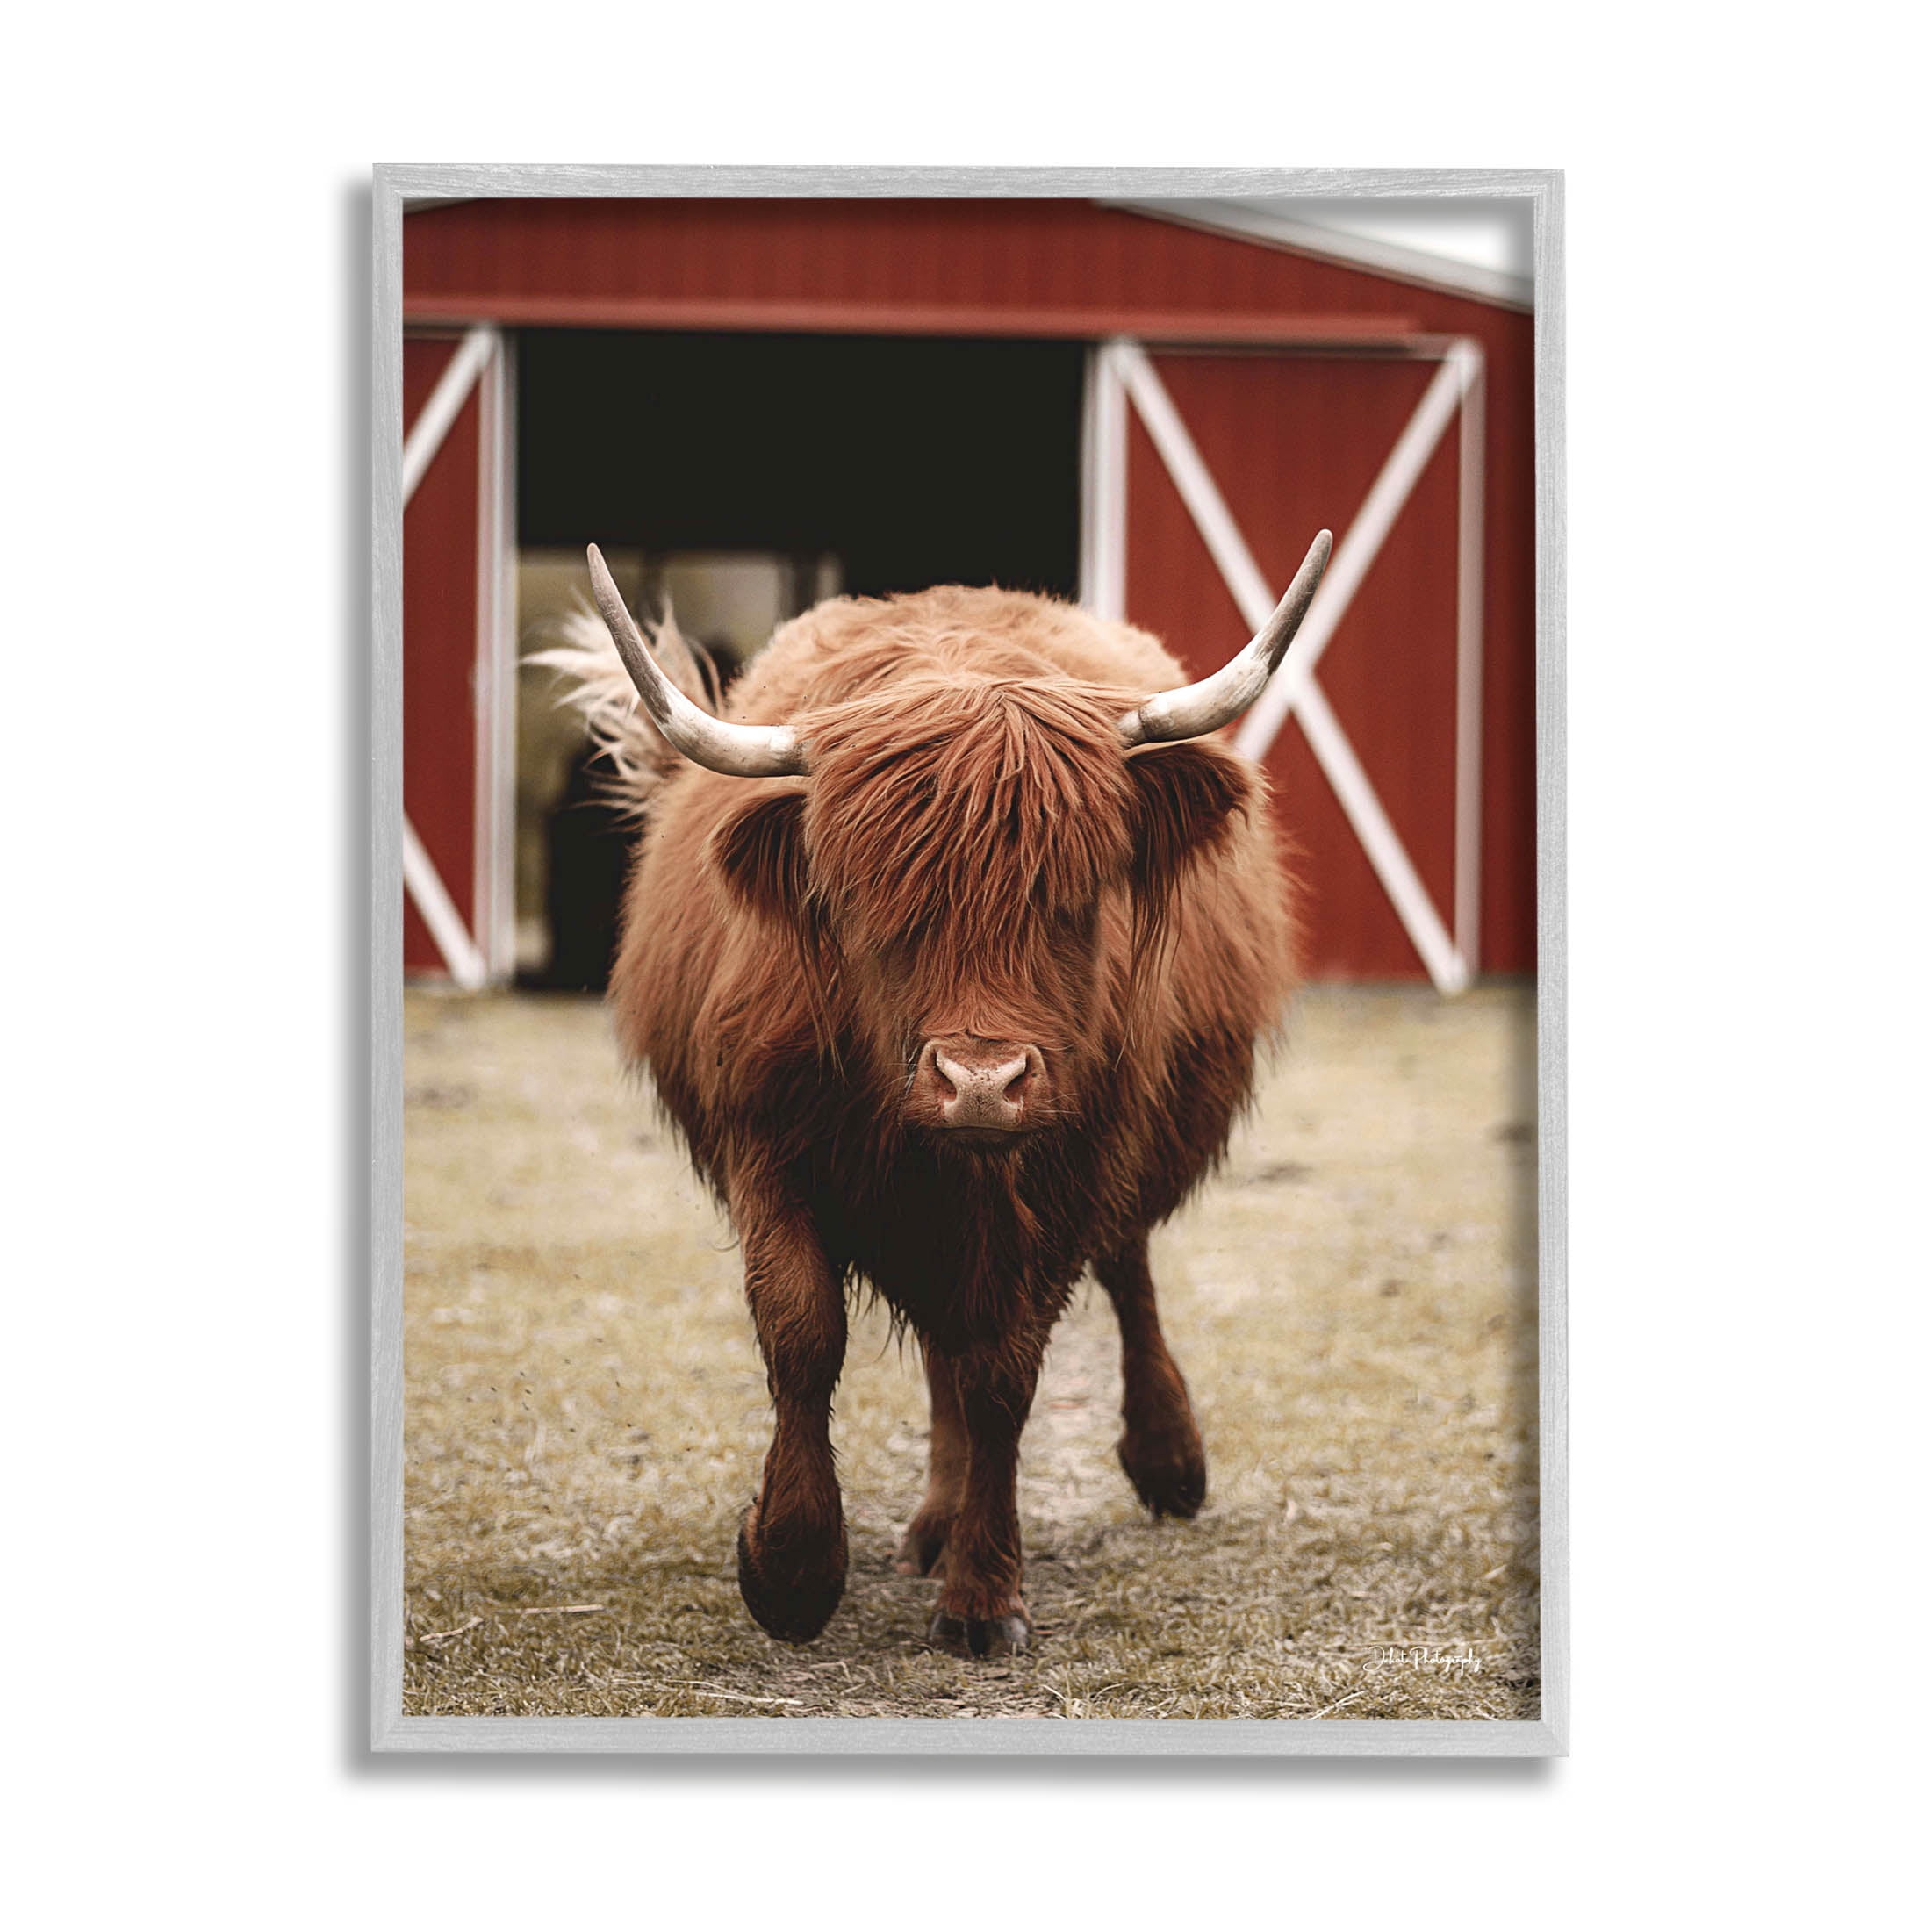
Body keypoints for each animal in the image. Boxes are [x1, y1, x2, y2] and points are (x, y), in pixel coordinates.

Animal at [540, 530, 1330, 1658]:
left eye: (1072, 897)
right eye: (872, 903)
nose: (981, 1083)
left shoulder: (1068, 1166)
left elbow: (1006, 1370)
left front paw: (983, 1596)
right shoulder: (764, 1136)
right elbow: (803, 1330)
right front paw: (789, 1570)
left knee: (1121, 1271)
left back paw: (1163, 1463)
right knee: (944, 1346)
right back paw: (929, 1522)